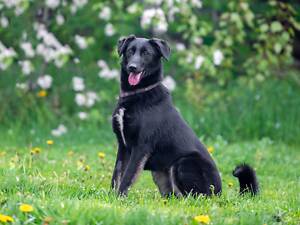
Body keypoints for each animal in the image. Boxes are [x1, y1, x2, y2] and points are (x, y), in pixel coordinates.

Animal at [110, 35, 258, 197]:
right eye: (130, 51)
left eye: (146, 53)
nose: (132, 67)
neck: (137, 93)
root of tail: (218, 194)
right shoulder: (123, 147)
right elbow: (116, 175)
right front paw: (110, 197)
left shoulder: (140, 147)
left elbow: (127, 177)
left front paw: (119, 198)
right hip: (161, 173)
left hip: (182, 163)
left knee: (193, 196)